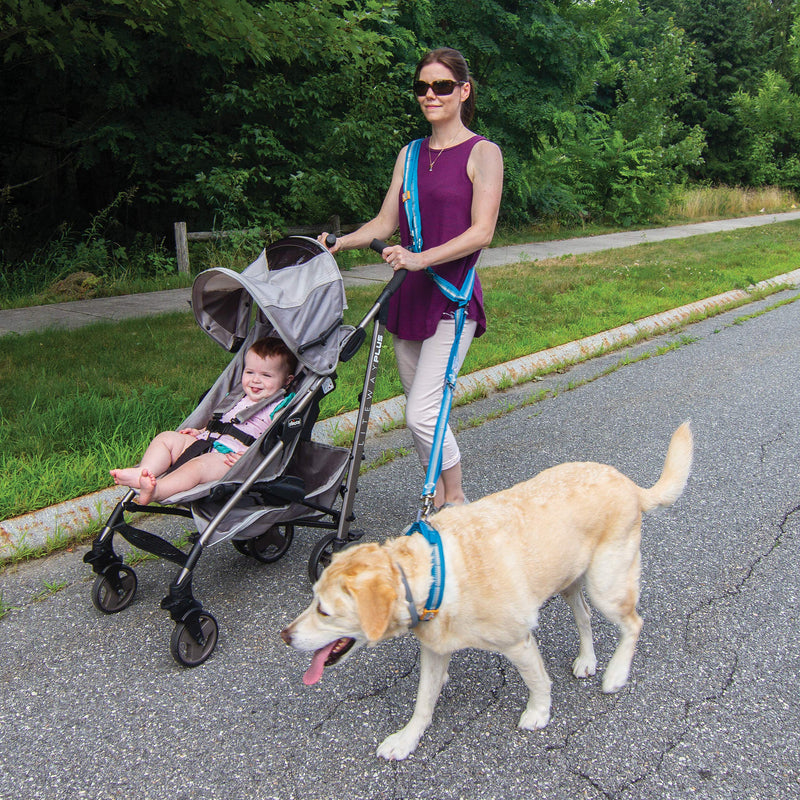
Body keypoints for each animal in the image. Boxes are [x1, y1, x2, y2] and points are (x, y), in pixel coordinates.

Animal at [282, 422, 692, 760]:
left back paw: (616, 674)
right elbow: (423, 703)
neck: (436, 574)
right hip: (572, 583)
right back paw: (588, 660)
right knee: (585, 618)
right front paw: (406, 739)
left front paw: (538, 713)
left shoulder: (518, 642)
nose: (285, 636)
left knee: (633, 623)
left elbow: (538, 681)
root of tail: (629, 484)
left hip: (606, 584)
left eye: (324, 610)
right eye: (312, 597)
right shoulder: (435, 650)